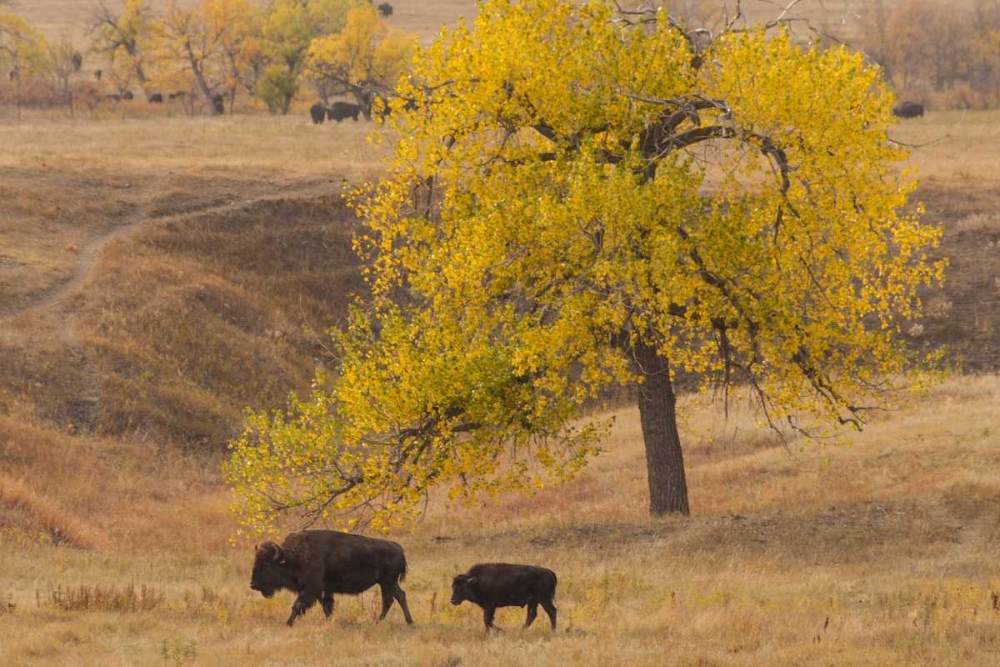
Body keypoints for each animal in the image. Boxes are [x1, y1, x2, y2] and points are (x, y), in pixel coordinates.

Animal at [250, 530, 415, 627]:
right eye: (255, 562)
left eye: (266, 565)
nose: (253, 584)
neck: (293, 557)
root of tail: (397, 546)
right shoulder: (324, 590)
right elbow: (327, 607)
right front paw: (329, 621)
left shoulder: (312, 588)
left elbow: (298, 605)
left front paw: (288, 623)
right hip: (386, 583)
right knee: (394, 598)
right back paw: (384, 622)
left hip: (388, 582)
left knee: (395, 598)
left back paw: (402, 622)